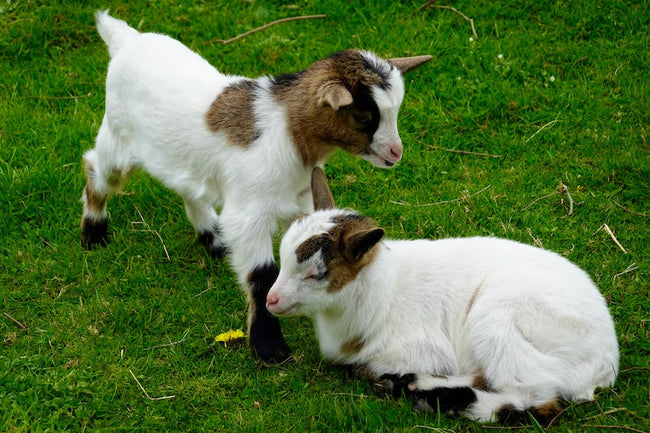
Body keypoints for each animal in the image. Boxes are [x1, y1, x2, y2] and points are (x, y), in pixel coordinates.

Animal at [81, 11, 431, 362]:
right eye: (362, 116)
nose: (395, 153)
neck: (291, 133)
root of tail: (124, 38)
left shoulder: (300, 200)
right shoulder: (249, 216)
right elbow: (261, 275)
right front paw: (269, 346)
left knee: (189, 189)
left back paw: (214, 239)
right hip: (117, 140)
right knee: (96, 168)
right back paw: (93, 234)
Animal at [266, 168, 619, 422]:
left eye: (317, 273)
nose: (271, 300)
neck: (385, 292)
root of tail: (605, 364)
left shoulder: (421, 349)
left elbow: (364, 366)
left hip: (498, 322)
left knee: (536, 399)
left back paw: (437, 398)